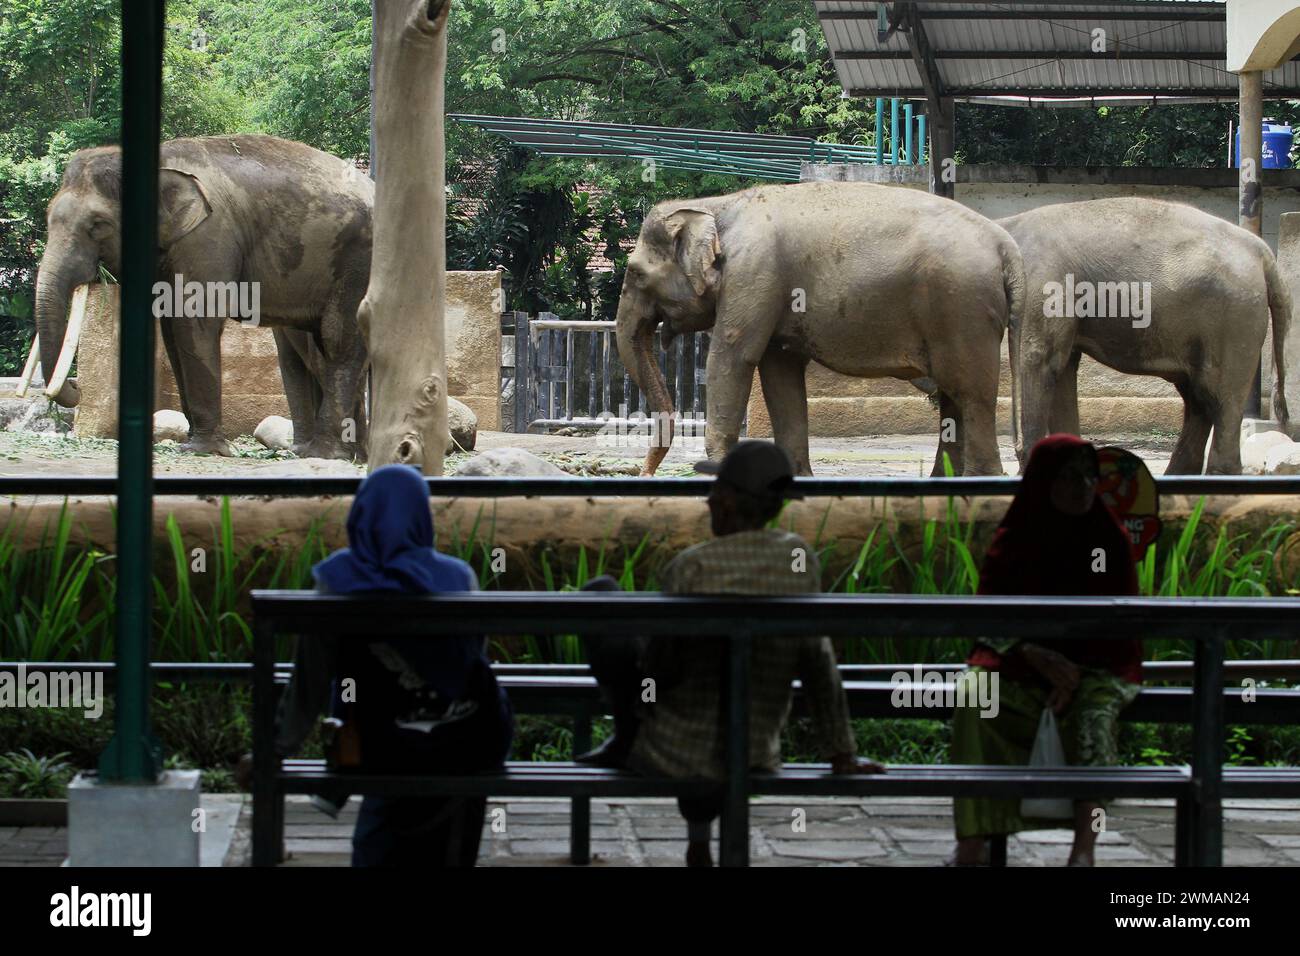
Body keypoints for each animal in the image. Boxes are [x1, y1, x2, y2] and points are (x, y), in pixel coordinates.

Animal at [31, 134, 377, 460]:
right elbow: (171, 330)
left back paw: (325, 454)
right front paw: (192, 443)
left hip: (360, 262)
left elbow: (194, 322)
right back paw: (349, 456)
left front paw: (205, 450)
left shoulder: (208, 236)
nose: (77, 386)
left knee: (338, 339)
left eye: (97, 225)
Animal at [613, 178, 1019, 476]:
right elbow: (780, 374)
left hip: (962, 307)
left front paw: (713, 469)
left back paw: (981, 482)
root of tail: (1006, 246)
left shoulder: (753, 273)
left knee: (971, 393)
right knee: (953, 397)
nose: (644, 473)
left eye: (636, 274)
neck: (716, 204)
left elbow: (733, 358)